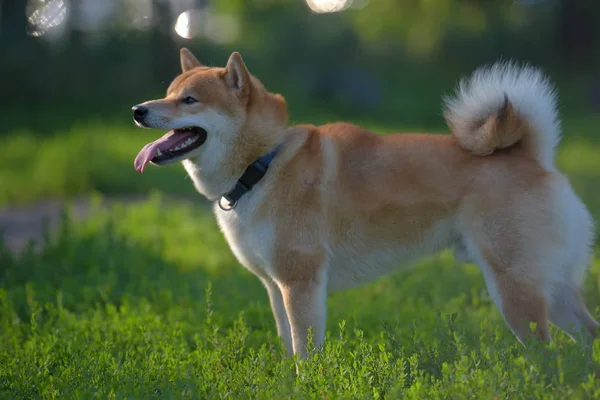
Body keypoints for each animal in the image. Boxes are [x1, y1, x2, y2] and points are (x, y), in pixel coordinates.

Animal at [131, 47, 596, 360]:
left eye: (189, 100)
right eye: (167, 93)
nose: (138, 109)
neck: (263, 164)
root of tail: (532, 156)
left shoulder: (300, 284)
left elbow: (304, 354)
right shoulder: (275, 287)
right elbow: (287, 348)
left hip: (514, 288)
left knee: (545, 352)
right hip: (551, 287)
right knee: (588, 334)